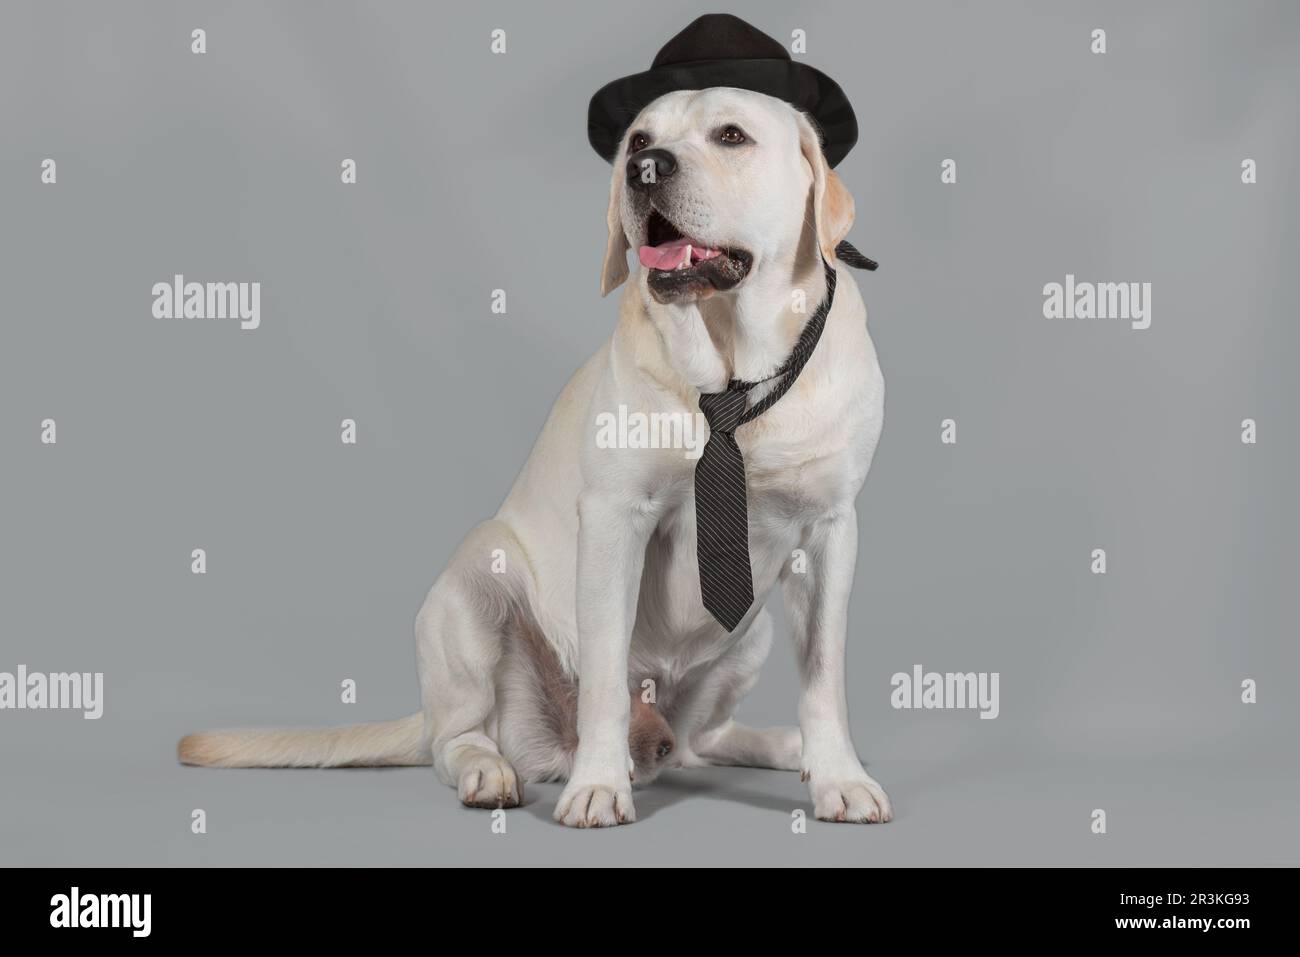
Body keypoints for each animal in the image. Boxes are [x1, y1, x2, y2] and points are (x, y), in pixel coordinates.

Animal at [180, 85, 894, 826]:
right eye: (639, 140)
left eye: (732, 136)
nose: (646, 169)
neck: (729, 379)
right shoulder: (613, 520)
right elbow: (604, 674)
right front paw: (598, 784)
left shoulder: (830, 530)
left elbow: (824, 675)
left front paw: (838, 774)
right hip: (473, 585)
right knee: (456, 739)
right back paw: (492, 770)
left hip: (748, 636)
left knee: (703, 741)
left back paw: (783, 744)